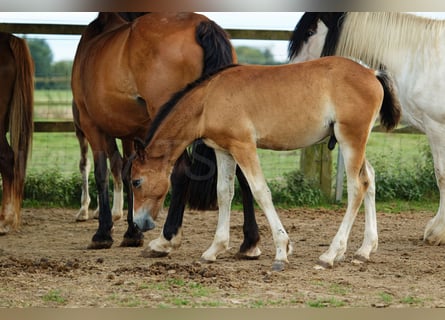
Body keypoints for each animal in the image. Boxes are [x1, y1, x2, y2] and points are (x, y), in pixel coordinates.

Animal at [70, 12, 258, 256]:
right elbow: (127, 170)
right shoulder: (134, 132)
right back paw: (250, 242)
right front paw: (132, 232)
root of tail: (202, 25)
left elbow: (102, 173)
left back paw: (167, 238)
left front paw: (103, 233)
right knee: (243, 172)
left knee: (181, 171)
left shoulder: (91, 124)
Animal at [129, 57, 402, 270]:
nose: (140, 223)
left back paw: (330, 254)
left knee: (357, 187)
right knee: (370, 178)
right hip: (354, 143)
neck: (208, 100)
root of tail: (372, 73)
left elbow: (260, 191)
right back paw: (365, 249)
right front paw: (214, 250)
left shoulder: (244, 146)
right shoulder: (223, 150)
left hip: (350, 139)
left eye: (136, 181)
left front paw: (282, 251)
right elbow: (224, 193)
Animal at [288, 12, 445, 246]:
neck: (420, 58)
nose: (290, 69)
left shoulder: (437, 128)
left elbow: (441, 176)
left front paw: (437, 232)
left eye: (309, 32)